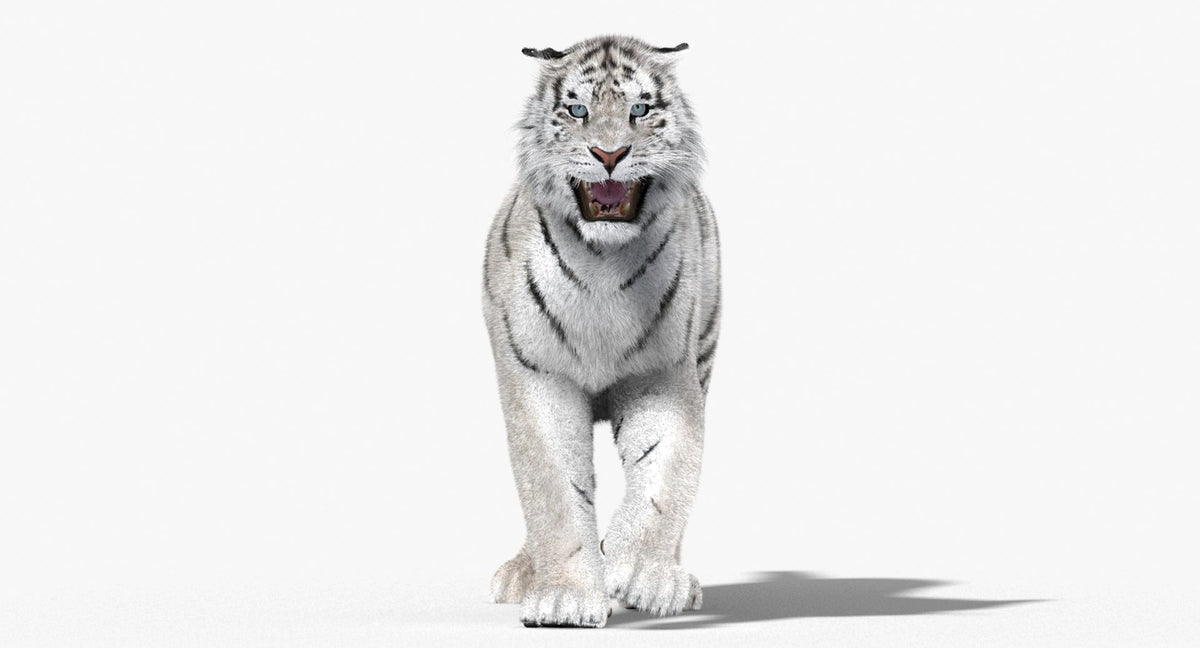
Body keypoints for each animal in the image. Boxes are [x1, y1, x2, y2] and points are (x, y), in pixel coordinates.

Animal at [481, 34, 720, 628]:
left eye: (640, 109)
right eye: (577, 110)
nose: (609, 155)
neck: (602, 265)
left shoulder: (665, 376)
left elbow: (663, 480)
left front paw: (644, 576)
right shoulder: (537, 378)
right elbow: (554, 492)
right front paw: (565, 597)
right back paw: (521, 573)